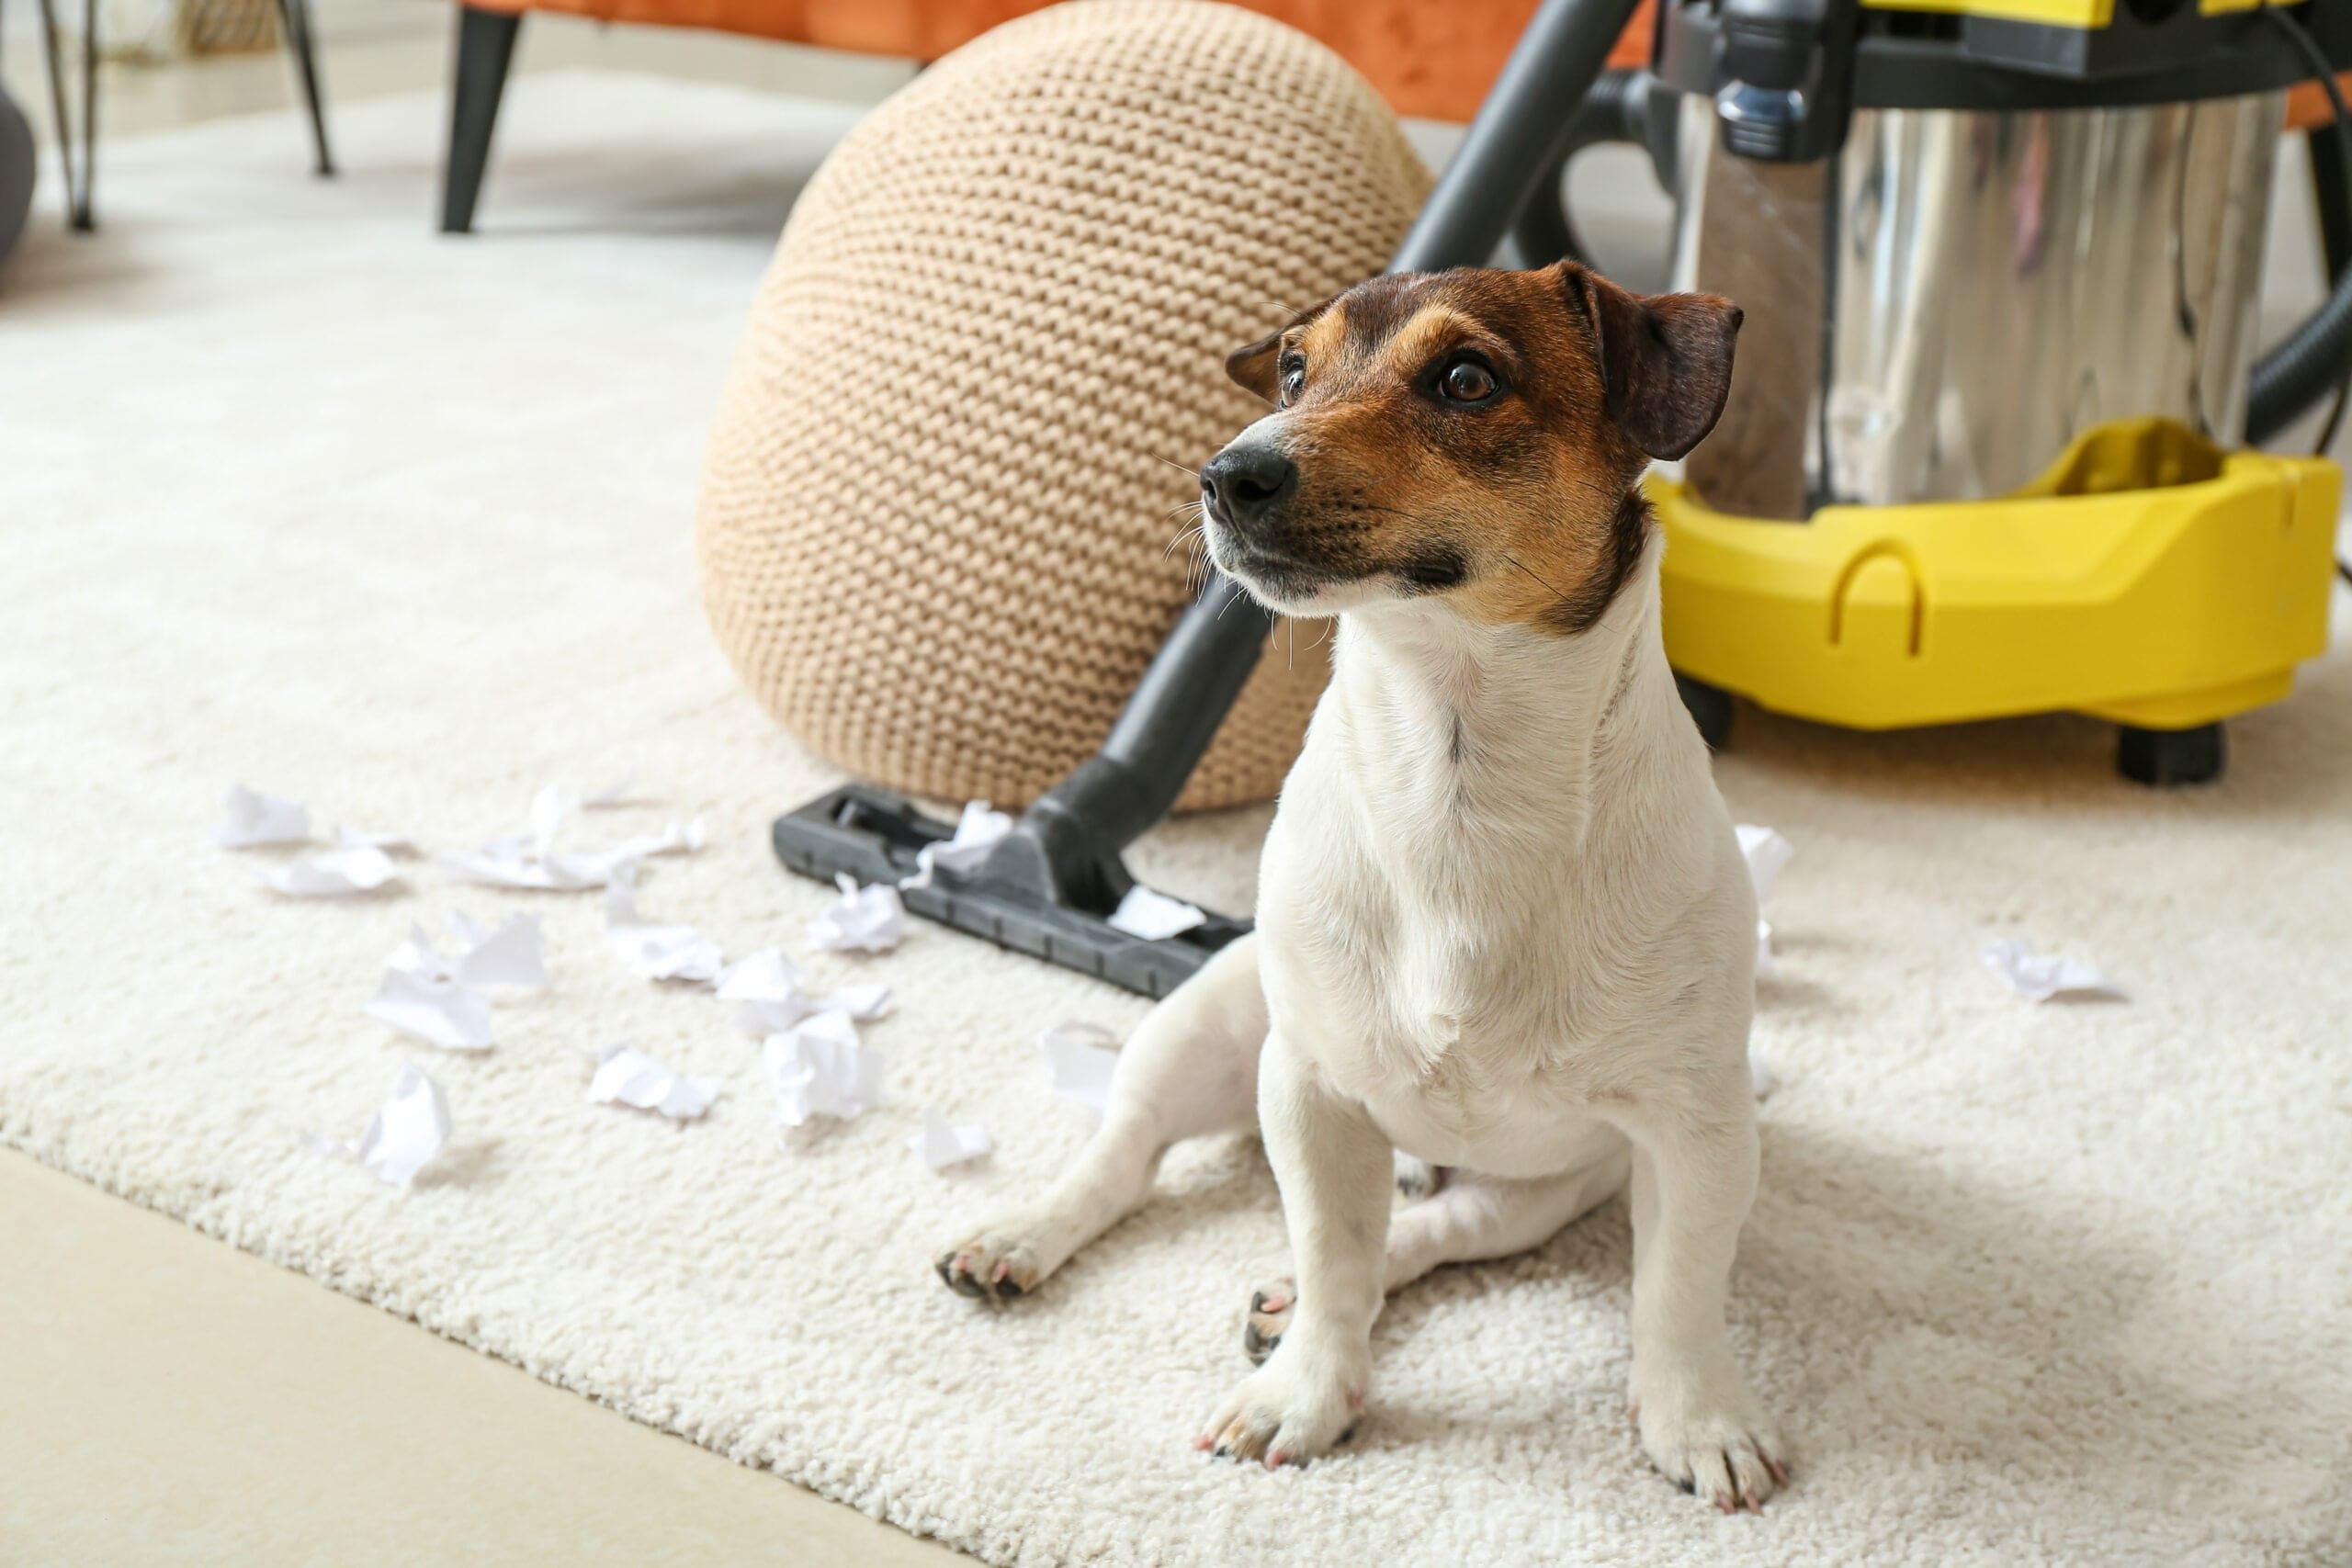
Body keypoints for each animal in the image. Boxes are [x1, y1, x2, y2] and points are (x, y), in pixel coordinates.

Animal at [935, 263, 1778, 1514]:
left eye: (1466, 379)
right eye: (1293, 371)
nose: (1226, 473)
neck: (1454, 767)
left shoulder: (1693, 1134)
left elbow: (1675, 1292)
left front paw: (1698, 1420)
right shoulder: (1310, 1089)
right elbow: (1332, 1254)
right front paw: (1302, 1393)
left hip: (1547, 1184)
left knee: (1434, 1225)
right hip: (1210, 1026)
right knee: (1124, 1153)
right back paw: (1023, 1236)